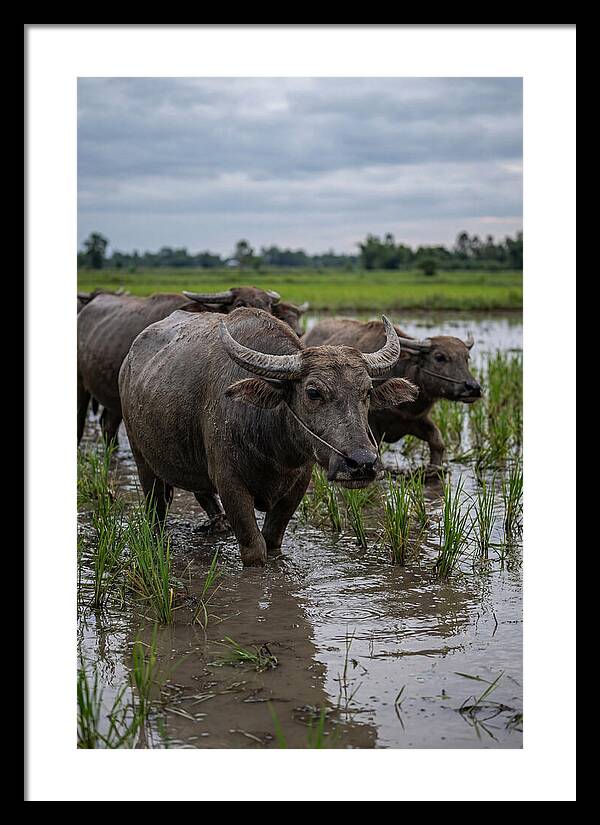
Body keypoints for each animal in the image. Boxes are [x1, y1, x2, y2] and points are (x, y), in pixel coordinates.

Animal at [119, 308, 417, 566]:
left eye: (367, 391)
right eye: (313, 392)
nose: (362, 463)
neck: (273, 447)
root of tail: (128, 362)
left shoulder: (298, 484)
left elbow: (272, 541)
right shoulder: (230, 483)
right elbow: (255, 550)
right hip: (141, 456)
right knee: (156, 508)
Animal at [303, 318, 482, 471]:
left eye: (466, 358)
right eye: (440, 357)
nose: (473, 388)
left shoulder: (416, 420)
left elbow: (437, 441)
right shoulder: (371, 427)